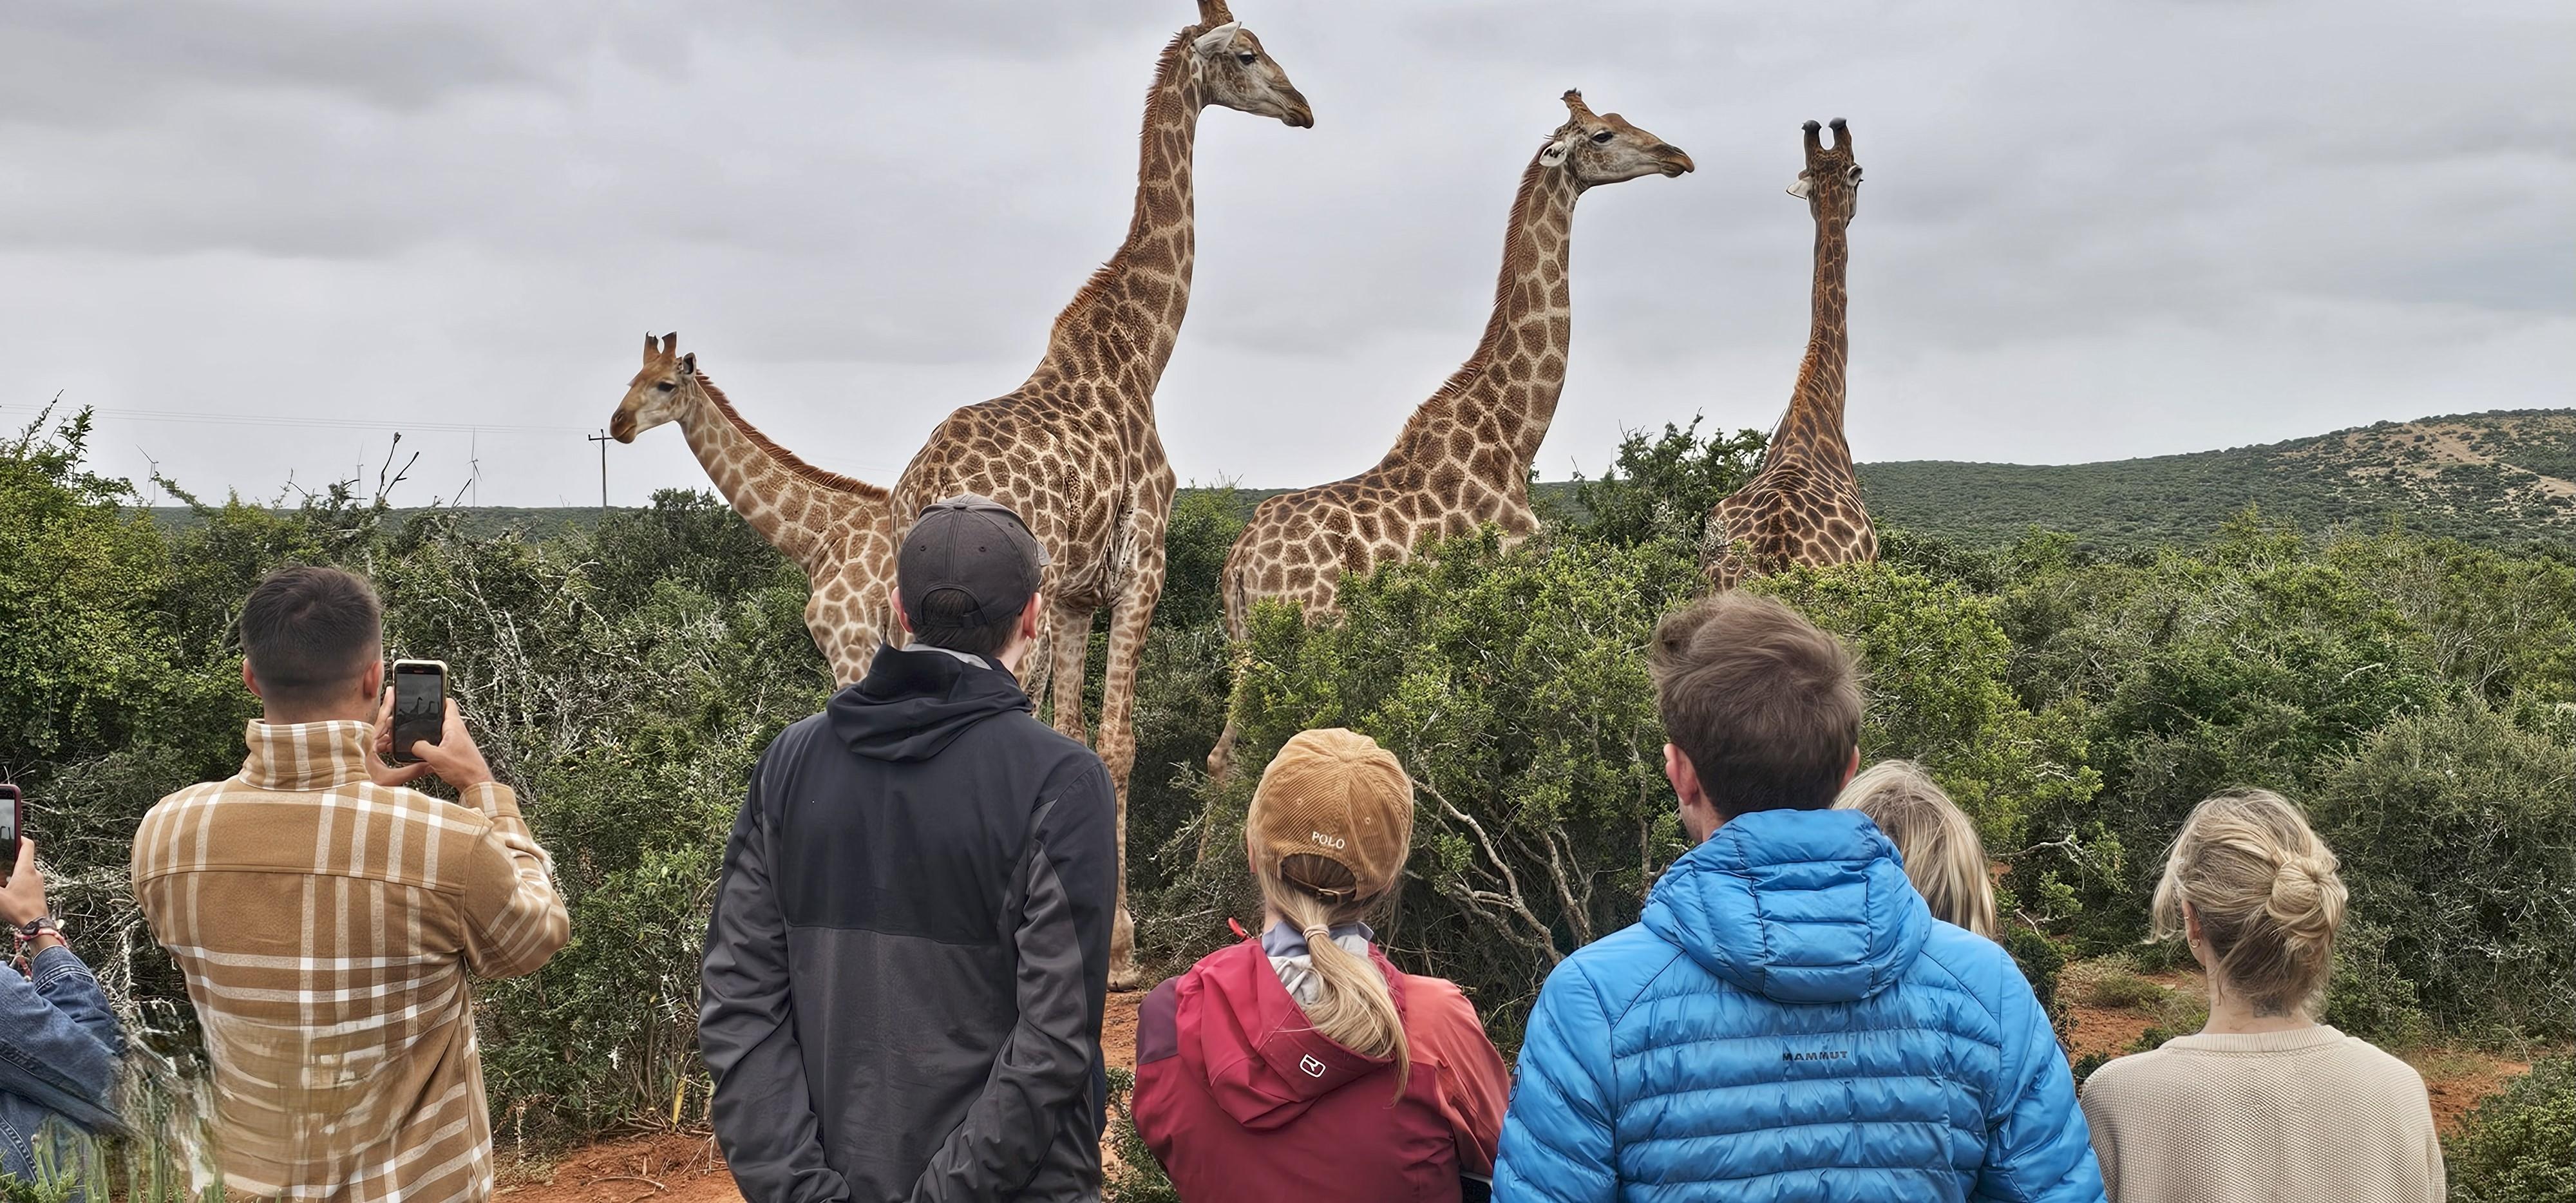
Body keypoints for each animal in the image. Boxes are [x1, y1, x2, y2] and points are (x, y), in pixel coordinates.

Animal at [887, 0, 1311, 985]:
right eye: (1247, 53)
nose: (1304, 108)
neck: (1141, 352)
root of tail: (923, 488)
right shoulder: (1141, 564)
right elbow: (1118, 741)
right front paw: (1118, 947)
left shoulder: (1081, 594)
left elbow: (1077, 734)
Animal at [1206, 90, 1694, 782]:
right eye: (1602, 135)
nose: (1677, 156)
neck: (1513, 434)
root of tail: (1240, 564)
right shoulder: (1507, 592)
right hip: (1301, 639)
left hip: (1247, 647)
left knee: (1224, 757)